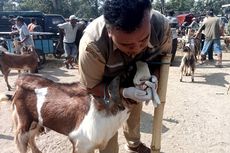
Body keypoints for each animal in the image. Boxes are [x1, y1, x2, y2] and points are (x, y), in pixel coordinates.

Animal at [8, 61, 160, 152]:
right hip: (23, 124)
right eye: (129, 70)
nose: (145, 78)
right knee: (21, 140)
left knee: (31, 138)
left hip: (35, 122)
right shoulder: (81, 144)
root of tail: (21, 79)